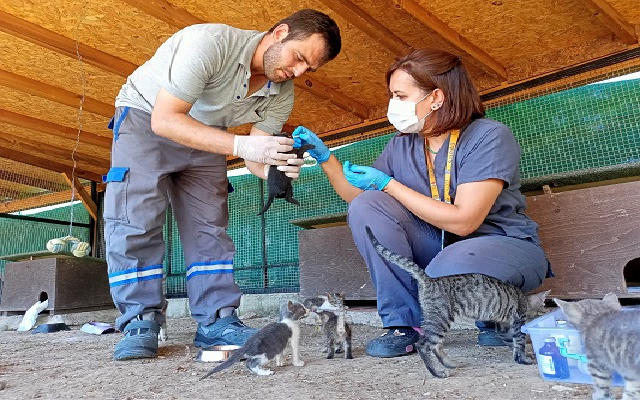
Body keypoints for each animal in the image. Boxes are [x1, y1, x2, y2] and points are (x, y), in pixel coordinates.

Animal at [368, 227, 548, 380]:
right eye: (543, 312)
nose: (544, 317)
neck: (522, 297)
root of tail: (430, 280)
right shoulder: (517, 320)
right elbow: (519, 341)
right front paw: (524, 358)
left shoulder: (503, 326)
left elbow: (512, 342)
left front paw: (519, 355)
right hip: (439, 318)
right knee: (423, 345)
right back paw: (437, 372)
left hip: (438, 319)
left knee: (436, 345)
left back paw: (448, 364)